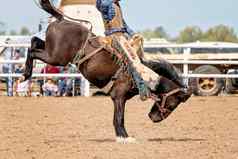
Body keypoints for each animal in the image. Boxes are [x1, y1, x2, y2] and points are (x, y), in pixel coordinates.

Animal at [23, 0, 192, 143]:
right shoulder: (118, 96)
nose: (153, 117)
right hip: (56, 57)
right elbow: (119, 118)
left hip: (51, 51)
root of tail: (61, 19)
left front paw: (121, 136)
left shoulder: (120, 98)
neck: (144, 76)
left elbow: (117, 117)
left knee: (34, 42)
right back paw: (26, 74)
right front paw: (124, 137)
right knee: (32, 50)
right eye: (173, 105)